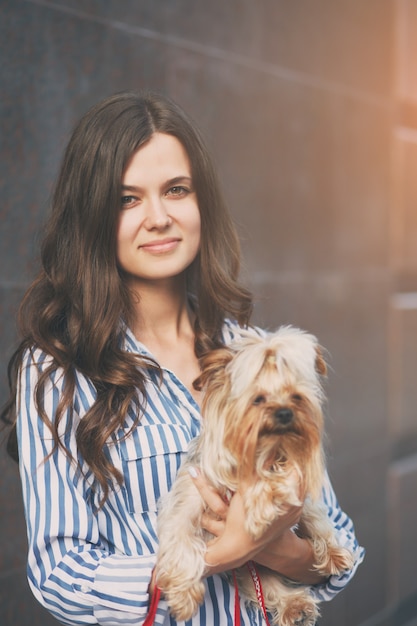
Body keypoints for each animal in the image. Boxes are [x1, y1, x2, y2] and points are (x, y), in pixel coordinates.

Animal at [154, 326, 352, 624]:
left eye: (296, 397)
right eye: (257, 399)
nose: (285, 412)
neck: (262, 450)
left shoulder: (299, 492)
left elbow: (315, 516)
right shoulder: (184, 503)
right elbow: (181, 540)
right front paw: (182, 597)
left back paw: (300, 601)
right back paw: (294, 607)